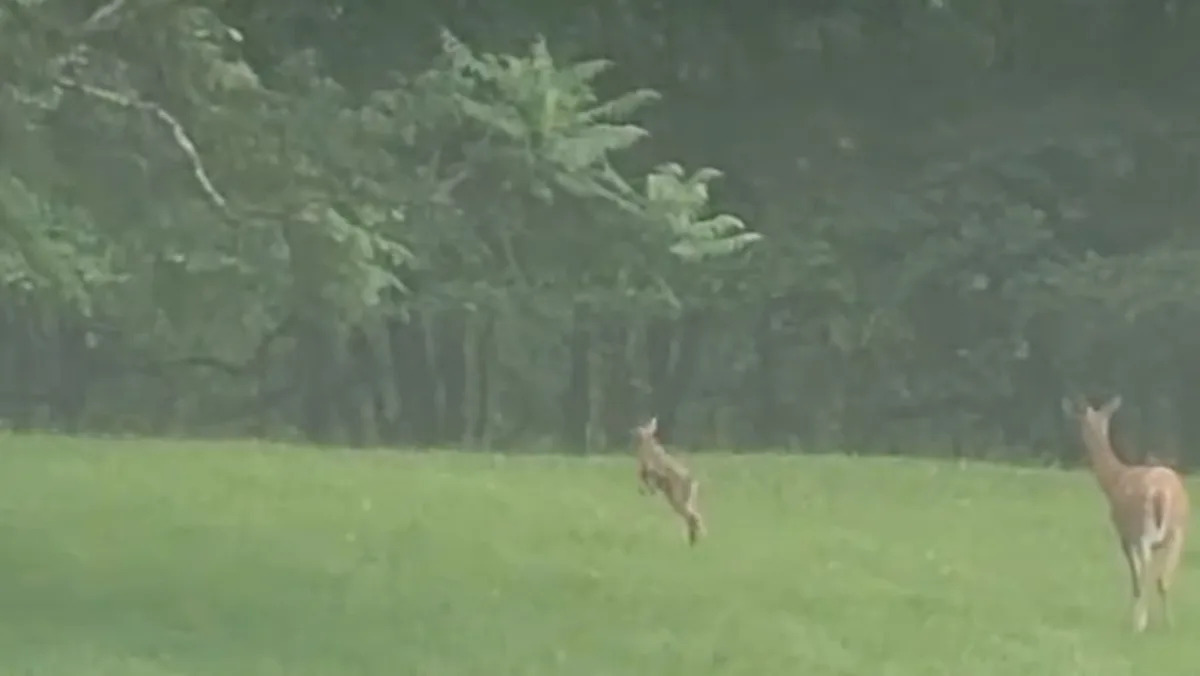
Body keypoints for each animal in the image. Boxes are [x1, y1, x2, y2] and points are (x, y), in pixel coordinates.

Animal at [633, 416, 705, 546]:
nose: (637, 431)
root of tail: (691, 481)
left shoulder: (653, 469)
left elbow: (649, 477)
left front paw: (649, 490)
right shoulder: (644, 471)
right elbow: (642, 478)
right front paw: (645, 490)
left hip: (678, 499)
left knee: (694, 516)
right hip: (677, 500)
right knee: (691, 516)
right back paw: (692, 541)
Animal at [1062, 395, 1190, 632]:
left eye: (1083, 422)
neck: (1115, 481)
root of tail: (1162, 493)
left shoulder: (1125, 535)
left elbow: (1136, 578)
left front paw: (1134, 621)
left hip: (1143, 529)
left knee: (1146, 572)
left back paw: (1139, 624)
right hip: (1178, 531)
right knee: (1163, 578)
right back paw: (1170, 624)